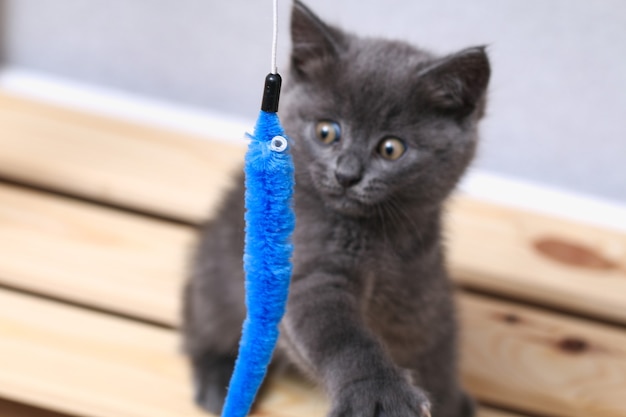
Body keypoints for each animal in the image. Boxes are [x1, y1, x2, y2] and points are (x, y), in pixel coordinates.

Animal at [183, 1, 490, 414]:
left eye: (391, 148)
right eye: (326, 131)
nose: (346, 175)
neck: (380, 237)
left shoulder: (423, 291)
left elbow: (434, 348)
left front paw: (449, 402)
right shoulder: (308, 268)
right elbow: (342, 336)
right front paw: (379, 393)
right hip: (216, 281)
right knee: (202, 321)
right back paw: (217, 377)